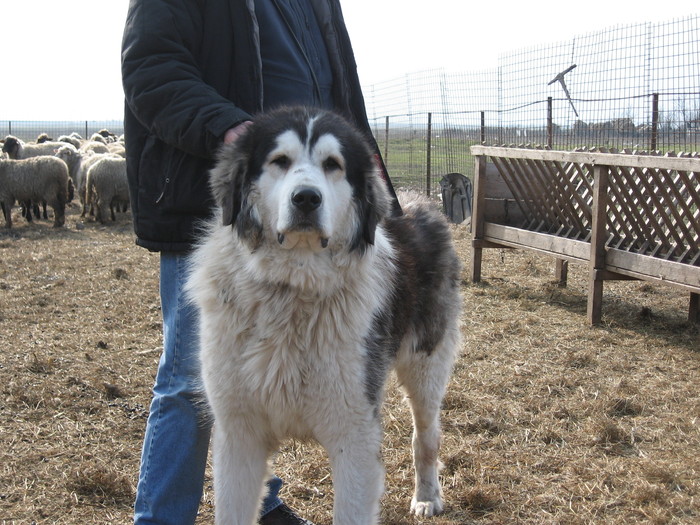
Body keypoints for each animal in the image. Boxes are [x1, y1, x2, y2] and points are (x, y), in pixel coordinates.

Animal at [186, 104, 462, 520]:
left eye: (333, 164)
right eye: (280, 161)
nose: (306, 198)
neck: (292, 288)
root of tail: (421, 203)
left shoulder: (355, 434)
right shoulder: (238, 434)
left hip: (426, 366)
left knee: (425, 437)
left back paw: (427, 496)